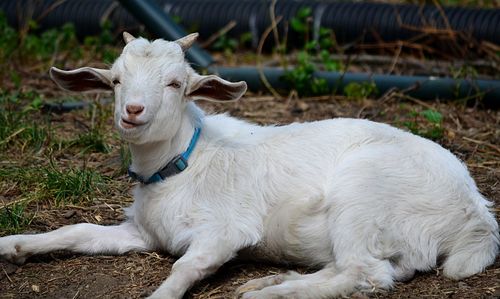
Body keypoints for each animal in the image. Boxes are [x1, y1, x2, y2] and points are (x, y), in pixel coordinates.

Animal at [0, 31, 498, 298]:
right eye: (116, 80)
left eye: (176, 83)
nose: (133, 112)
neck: (184, 162)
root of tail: (477, 214)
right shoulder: (144, 232)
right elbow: (77, 231)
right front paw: (13, 245)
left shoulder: (225, 231)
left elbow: (185, 268)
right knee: (370, 269)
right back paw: (271, 281)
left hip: (362, 194)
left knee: (365, 273)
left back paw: (271, 292)